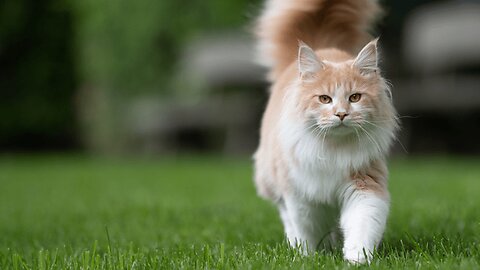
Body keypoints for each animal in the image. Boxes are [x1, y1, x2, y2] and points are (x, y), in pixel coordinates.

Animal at [251, 0, 398, 264]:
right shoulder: (300, 193)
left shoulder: (364, 184)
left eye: (355, 97)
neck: (333, 150)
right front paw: (308, 256)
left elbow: (362, 225)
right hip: (272, 179)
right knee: (286, 216)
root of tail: (323, 46)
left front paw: (356, 258)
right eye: (324, 99)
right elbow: (307, 229)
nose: (341, 114)